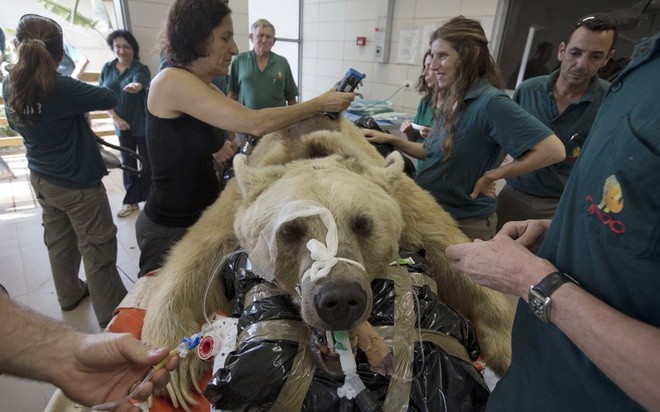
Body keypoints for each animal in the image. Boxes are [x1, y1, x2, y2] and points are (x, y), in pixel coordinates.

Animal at [141, 114, 516, 408]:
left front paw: (507, 348)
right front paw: (172, 370)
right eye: (291, 229)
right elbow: (193, 259)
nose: (340, 298)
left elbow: (455, 254)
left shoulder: (407, 204)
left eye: (363, 224)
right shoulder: (233, 208)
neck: (311, 151)